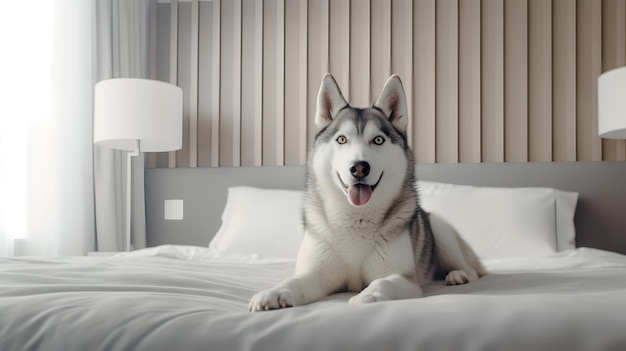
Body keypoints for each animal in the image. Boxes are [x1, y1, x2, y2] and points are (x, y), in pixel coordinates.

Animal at [247, 75, 482, 312]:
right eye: (342, 139)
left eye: (378, 140)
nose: (359, 167)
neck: (356, 220)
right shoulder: (316, 275)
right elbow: (294, 281)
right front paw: (274, 292)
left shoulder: (405, 278)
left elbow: (382, 282)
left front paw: (366, 296)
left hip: (440, 229)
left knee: (473, 270)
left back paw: (457, 275)